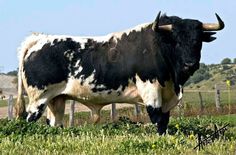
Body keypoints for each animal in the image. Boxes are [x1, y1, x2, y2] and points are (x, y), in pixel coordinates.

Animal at [17, 12, 225, 134]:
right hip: (38, 99)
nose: (190, 64)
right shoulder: (151, 91)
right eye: (176, 41)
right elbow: (157, 120)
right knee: (29, 120)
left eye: (198, 41)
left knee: (54, 123)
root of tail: (39, 39)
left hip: (56, 100)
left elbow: (165, 121)